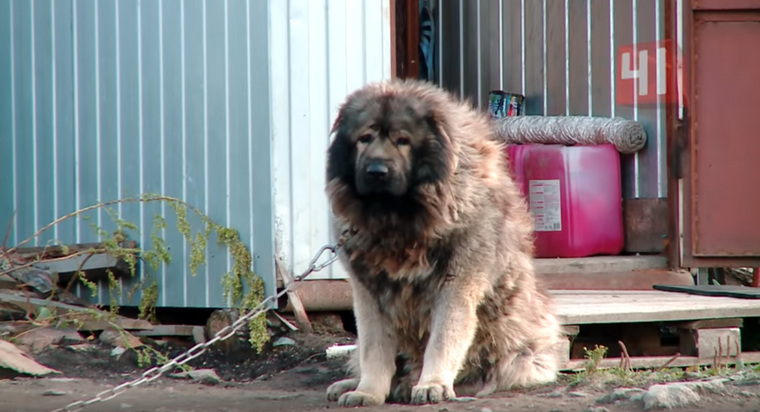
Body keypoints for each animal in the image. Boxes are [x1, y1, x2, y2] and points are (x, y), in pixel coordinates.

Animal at [324, 79, 560, 406]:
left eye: (403, 140)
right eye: (365, 138)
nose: (376, 171)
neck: (397, 222)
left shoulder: (456, 285)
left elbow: (442, 339)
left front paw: (432, 384)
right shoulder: (368, 293)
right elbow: (373, 349)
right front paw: (367, 391)